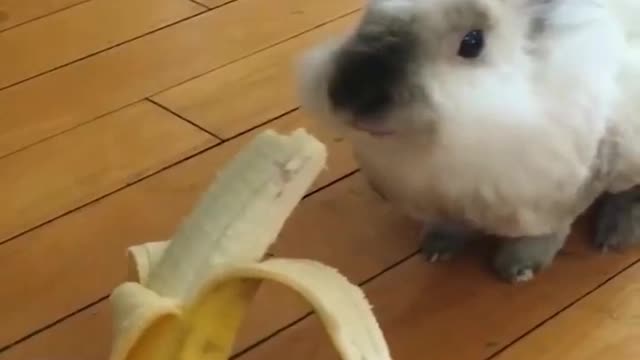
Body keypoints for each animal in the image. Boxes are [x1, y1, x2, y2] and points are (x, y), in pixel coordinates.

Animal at [294, 0, 640, 282]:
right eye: (368, 14)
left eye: (472, 43)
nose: (351, 97)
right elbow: (449, 224)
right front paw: (436, 248)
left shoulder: (560, 192)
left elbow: (545, 231)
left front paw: (518, 268)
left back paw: (614, 235)